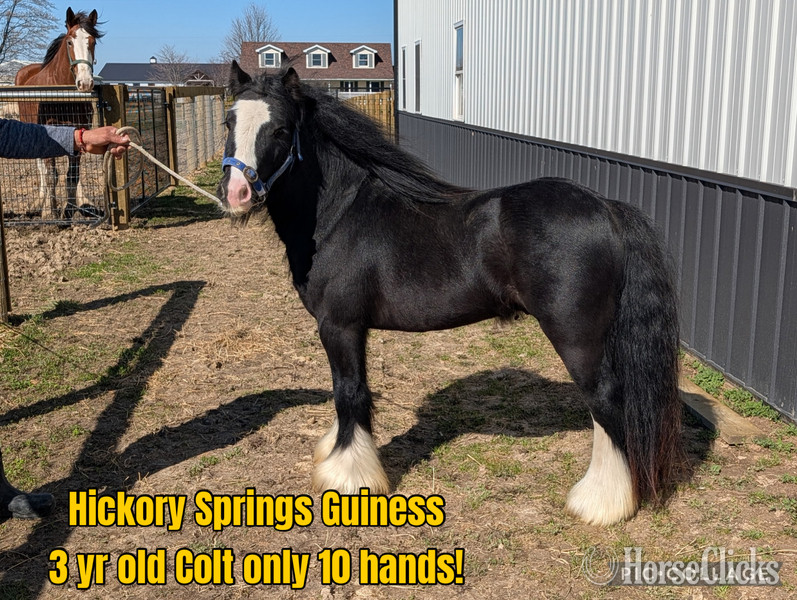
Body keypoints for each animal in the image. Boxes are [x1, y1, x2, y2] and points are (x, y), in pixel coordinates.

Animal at [15, 8, 103, 221]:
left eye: (93, 42)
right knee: (41, 168)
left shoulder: (79, 132)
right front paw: (50, 212)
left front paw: (69, 211)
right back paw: (40, 201)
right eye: (70, 41)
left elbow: (73, 175)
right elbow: (51, 175)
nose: (85, 83)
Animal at [214, 62, 685, 526]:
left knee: (605, 403)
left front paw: (348, 476)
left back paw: (601, 503)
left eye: (280, 129)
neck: (340, 214)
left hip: (576, 337)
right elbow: (349, 391)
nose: (236, 194)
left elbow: (349, 391)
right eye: (229, 121)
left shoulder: (340, 325)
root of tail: (606, 207)